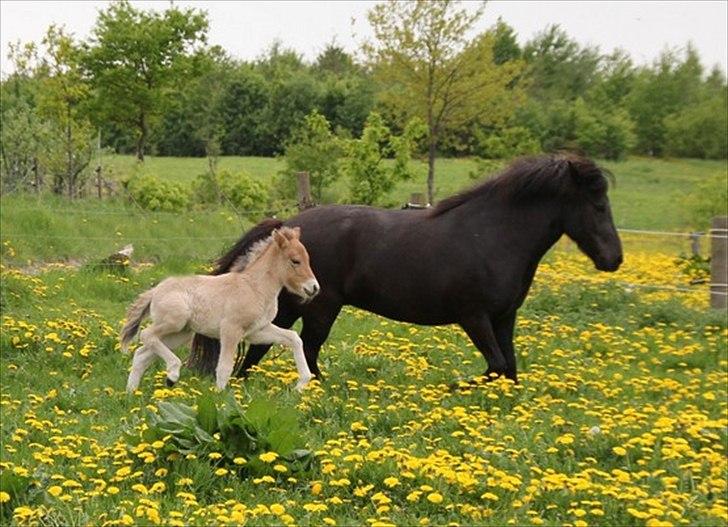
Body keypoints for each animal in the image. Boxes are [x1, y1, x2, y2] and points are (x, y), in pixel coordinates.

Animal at [186, 154, 620, 384]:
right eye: (598, 205)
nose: (613, 259)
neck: (492, 237)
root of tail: (288, 227)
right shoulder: (474, 317)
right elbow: (495, 366)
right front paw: (456, 389)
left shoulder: (504, 318)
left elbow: (508, 370)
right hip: (319, 306)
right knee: (300, 347)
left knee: (267, 347)